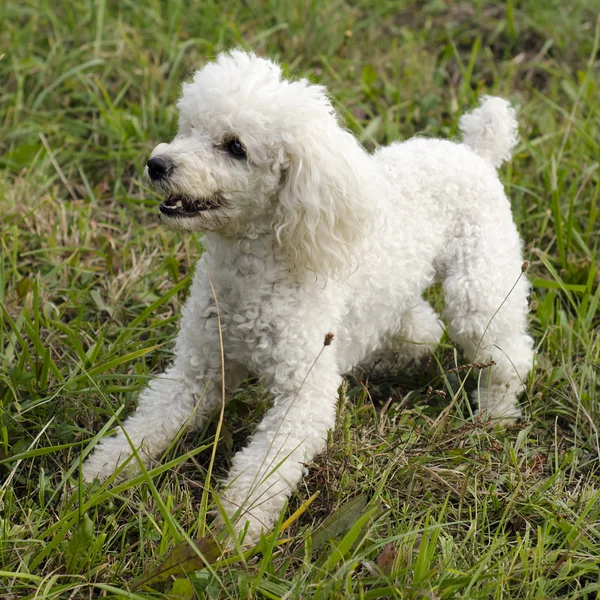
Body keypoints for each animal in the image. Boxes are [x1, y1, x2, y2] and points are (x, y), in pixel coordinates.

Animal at [81, 50, 536, 544]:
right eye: (189, 127)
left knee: (506, 352)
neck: (252, 271)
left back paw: (495, 414)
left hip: (480, 286)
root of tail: (475, 152)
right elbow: (152, 420)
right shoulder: (199, 367)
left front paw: (236, 531)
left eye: (235, 147)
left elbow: (264, 468)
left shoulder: (302, 395)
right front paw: (104, 474)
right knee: (423, 328)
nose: (157, 164)